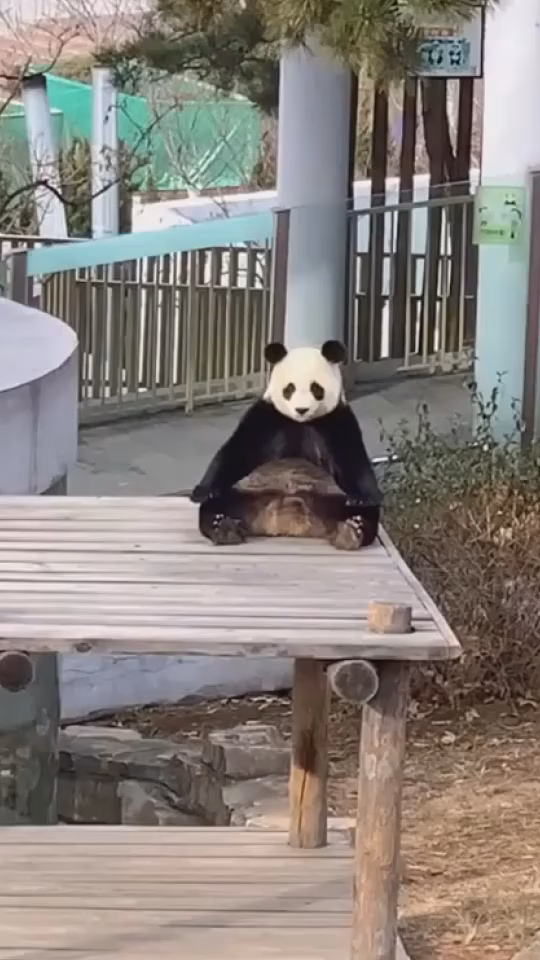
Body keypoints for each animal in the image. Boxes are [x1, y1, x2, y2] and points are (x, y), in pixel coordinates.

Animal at [190, 339, 381, 550]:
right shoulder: (267, 416)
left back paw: (353, 529)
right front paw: (204, 490)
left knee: (364, 513)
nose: (301, 409)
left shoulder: (336, 420)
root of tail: (285, 520)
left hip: (332, 499)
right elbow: (237, 451)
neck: (301, 421)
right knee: (214, 505)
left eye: (316, 388)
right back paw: (222, 526)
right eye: (289, 389)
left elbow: (352, 458)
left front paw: (364, 497)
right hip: (245, 495)